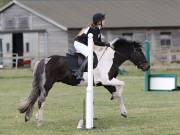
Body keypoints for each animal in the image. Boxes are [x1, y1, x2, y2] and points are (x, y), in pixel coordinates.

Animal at [18, 37, 150, 126]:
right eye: (139, 51)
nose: (147, 66)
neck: (111, 58)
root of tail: (44, 60)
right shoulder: (106, 80)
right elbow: (122, 86)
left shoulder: (105, 83)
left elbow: (117, 94)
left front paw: (124, 112)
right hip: (47, 85)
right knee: (41, 100)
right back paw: (39, 121)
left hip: (42, 85)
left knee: (35, 99)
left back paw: (29, 117)